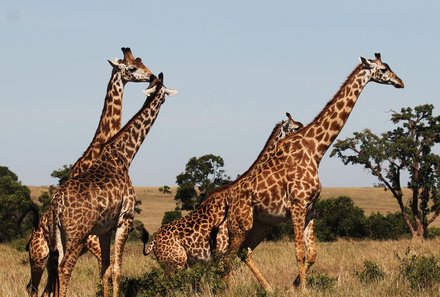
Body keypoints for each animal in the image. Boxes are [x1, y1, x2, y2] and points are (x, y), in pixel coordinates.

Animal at [26, 72, 175, 296]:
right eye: (164, 90)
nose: (166, 98)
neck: (124, 156)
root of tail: (56, 206)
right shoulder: (125, 219)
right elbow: (117, 269)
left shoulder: (104, 229)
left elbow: (105, 268)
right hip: (75, 236)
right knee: (63, 269)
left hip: (58, 237)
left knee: (53, 273)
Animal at [223, 52, 406, 290]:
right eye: (384, 69)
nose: (400, 82)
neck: (316, 150)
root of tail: (229, 200)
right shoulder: (297, 206)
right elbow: (299, 254)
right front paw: (302, 290)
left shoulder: (310, 209)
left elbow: (311, 255)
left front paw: (294, 286)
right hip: (241, 223)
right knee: (227, 255)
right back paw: (222, 289)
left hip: (261, 224)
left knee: (243, 253)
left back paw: (268, 289)